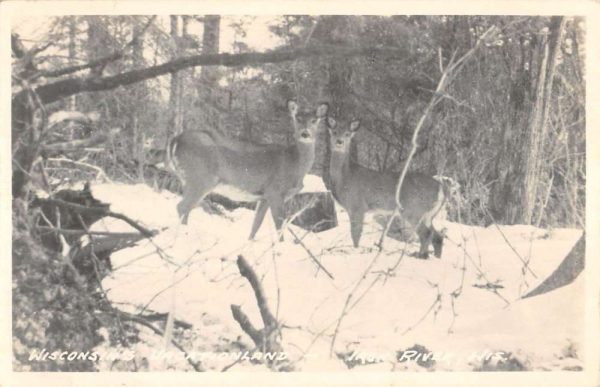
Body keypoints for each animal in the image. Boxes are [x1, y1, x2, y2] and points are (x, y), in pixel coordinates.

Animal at [166, 100, 330, 241]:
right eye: (297, 118)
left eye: (314, 120)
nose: (305, 133)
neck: (294, 163)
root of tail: (176, 140)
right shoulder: (275, 191)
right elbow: (279, 226)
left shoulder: (264, 197)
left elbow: (255, 225)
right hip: (201, 177)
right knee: (182, 207)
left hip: (188, 180)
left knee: (186, 208)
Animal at [326, 116, 448, 260]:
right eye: (334, 132)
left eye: (347, 134)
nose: (339, 142)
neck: (345, 177)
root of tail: (441, 188)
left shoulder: (357, 206)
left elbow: (355, 233)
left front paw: (355, 251)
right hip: (428, 215)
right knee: (437, 236)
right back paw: (432, 257)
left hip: (414, 210)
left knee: (426, 234)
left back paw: (420, 256)